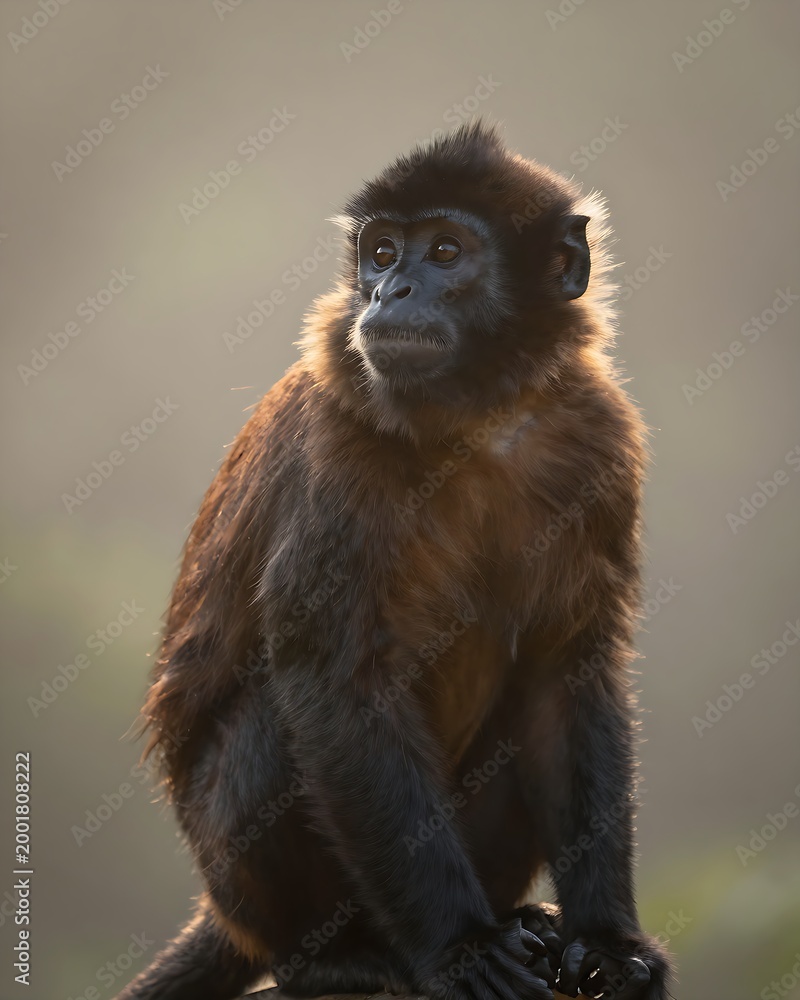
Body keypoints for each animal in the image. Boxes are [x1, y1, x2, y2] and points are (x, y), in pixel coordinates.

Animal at [117, 120, 671, 1000]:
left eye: (445, 251)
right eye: (380, 253)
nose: (389, 293)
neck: (479, 420)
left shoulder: (597, 436)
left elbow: (566, 674)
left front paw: (609, 945)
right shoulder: (341, 441)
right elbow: (336, 686)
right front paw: (463, 948)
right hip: (242, 882)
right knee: (275, 717)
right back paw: (336, 957)